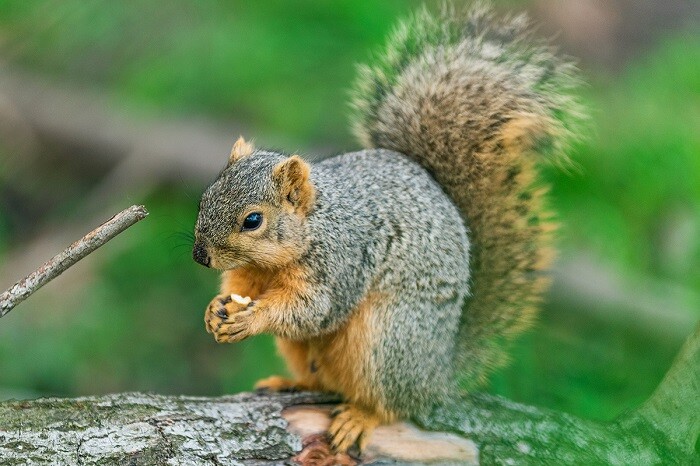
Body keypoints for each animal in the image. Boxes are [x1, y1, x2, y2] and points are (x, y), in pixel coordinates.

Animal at [192, 2, 583, 454]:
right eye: (205, 196)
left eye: (253, 220)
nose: (200, 256)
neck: (309, 229)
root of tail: (438, 374)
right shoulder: (252, 272)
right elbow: (241, 288)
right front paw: (215, 310)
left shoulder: (341, 263)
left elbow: (313, 310)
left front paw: (250, 319)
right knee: (322, 378)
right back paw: (288, 383)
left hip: (386, 340)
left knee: (390, 403)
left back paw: (361, 416)